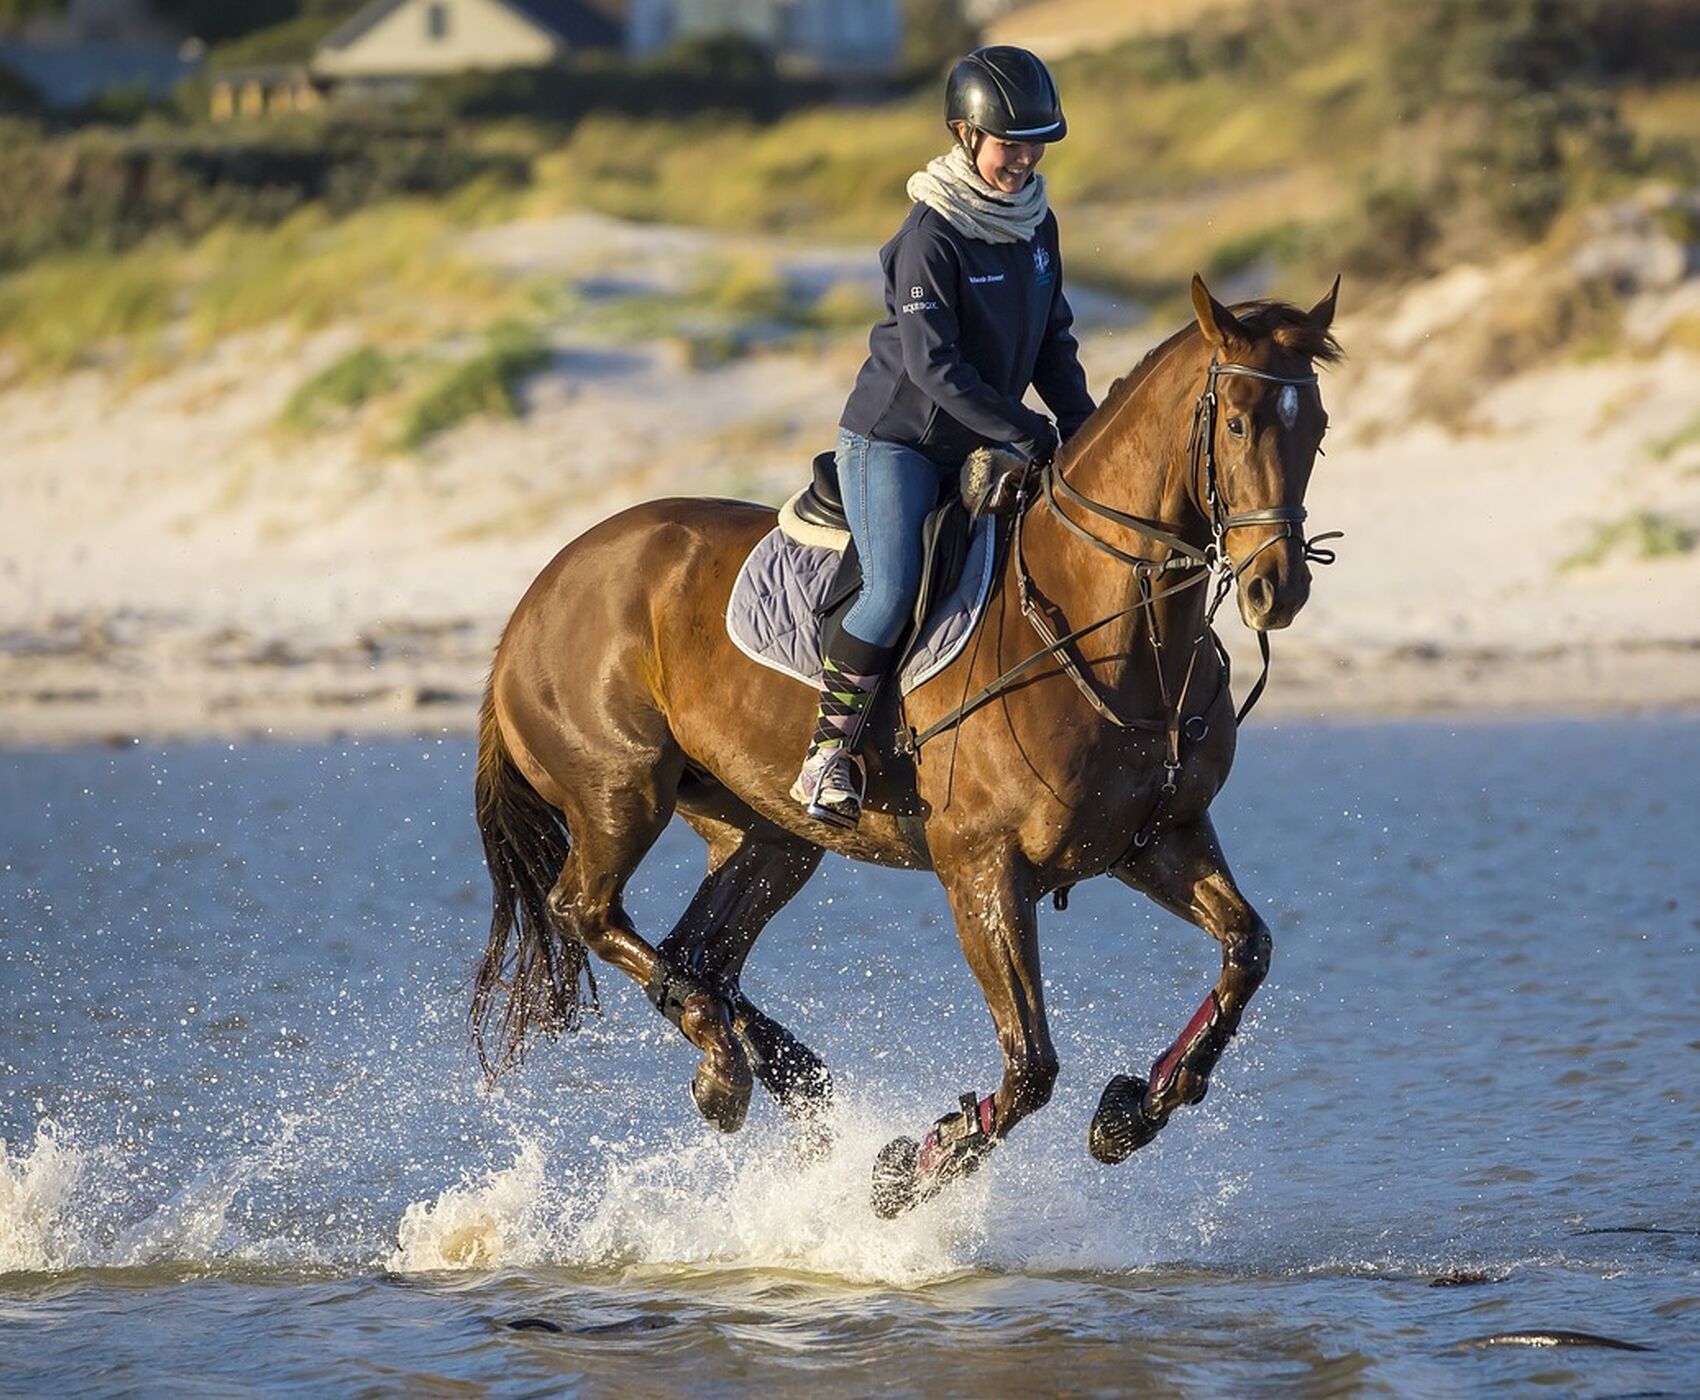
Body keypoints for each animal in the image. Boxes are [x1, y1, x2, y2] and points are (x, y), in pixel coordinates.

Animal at [469, 273, 1339, 1216]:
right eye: (1239, 423)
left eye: (1318, 428)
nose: (1277, 587)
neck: (1111, 631)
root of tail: (537, 593)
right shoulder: (983, 870)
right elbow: (1030, 1067)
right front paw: (909, 1171)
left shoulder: (1156, 840)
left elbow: (1246, 951)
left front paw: (1132, 1113)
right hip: (620, 793)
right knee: (587, 910)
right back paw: (728, 1069)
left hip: (767, 834)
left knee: (699, 952)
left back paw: (769, 1074)